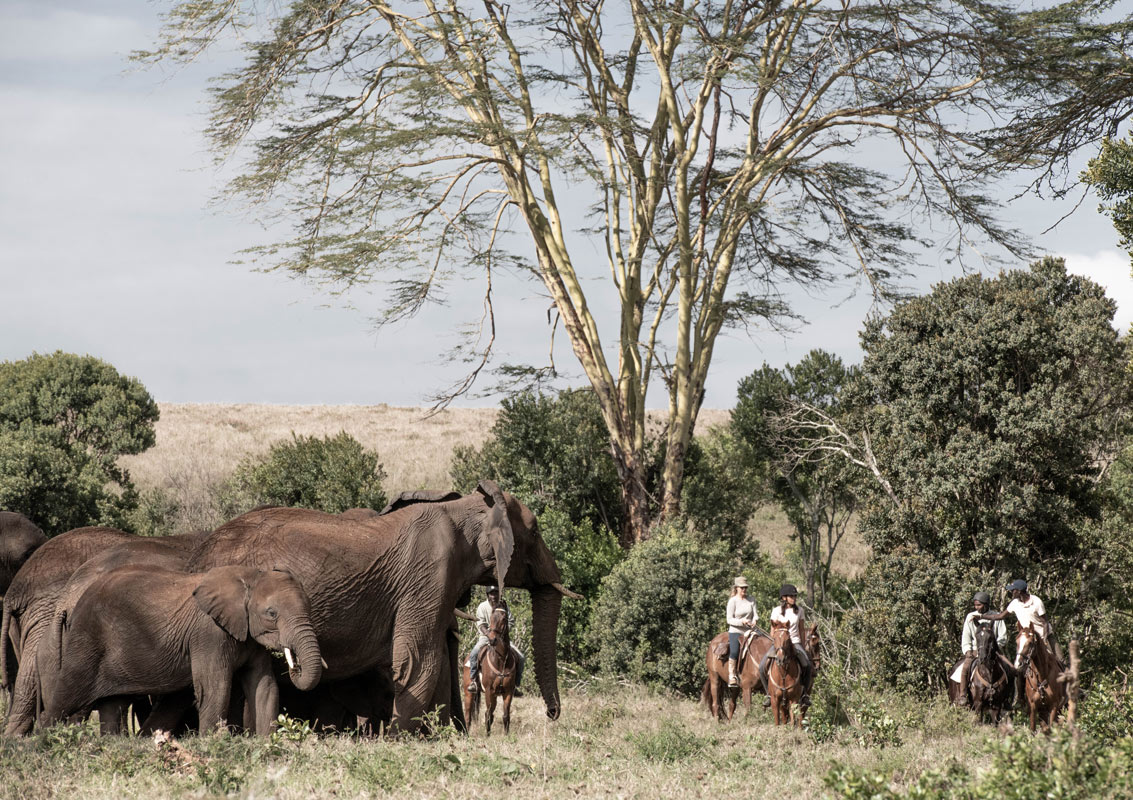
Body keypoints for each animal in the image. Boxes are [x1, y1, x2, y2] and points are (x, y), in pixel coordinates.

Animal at [41, 557, 321, 734]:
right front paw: (213, 748)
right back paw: (42, 746)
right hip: (86, 639)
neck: (249, 576)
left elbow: (264, 686)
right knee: (65, 697)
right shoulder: (209, 634)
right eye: (272, 613)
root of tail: (73, 602)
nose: (295, 667)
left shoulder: (249, 635)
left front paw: (267, 748)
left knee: (113, 705)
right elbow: (215, 688)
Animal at [186, 475, 584, 734]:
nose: (552, 714)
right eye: (535, 532)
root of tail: (198, 553)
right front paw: (400, 741)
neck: (468, 509)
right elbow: (419, 660)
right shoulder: (429, 574)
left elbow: (431, 661)